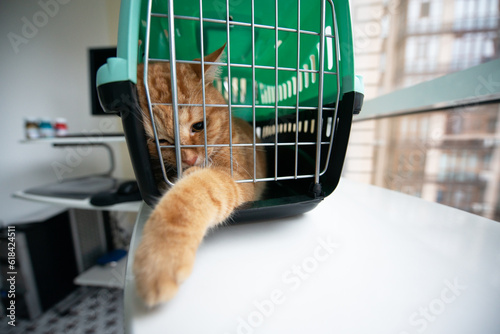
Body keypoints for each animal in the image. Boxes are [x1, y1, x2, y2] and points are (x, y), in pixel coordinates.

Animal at [132, 45, 266, 306]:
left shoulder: (233, 175)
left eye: (198, 126)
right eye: (160, 141)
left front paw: (159, 258)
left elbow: (189, 196)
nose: (190, 160)